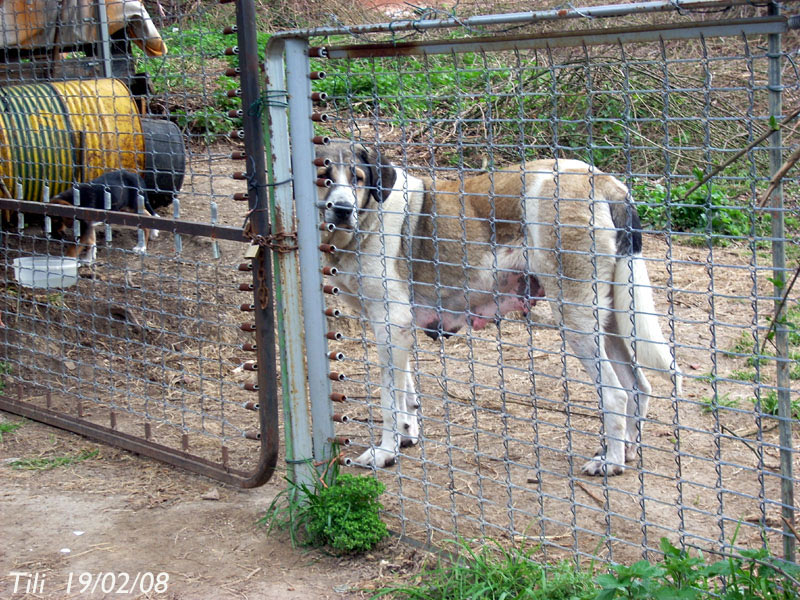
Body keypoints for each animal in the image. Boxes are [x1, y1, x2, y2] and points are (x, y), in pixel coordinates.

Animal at [316, 141, 680, 478]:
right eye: (324, 176)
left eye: (358, 178)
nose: (342, 210)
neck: (368, 220)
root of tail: (604, 181)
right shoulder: (396, 330)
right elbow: (406, 392)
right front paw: (406, 436)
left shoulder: (391, 324)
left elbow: (389, 402)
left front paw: (384, 452)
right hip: (610, 319)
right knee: (637, 386)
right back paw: (627, 450)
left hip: (576, 319)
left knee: (616, 394)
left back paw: (611, 462)